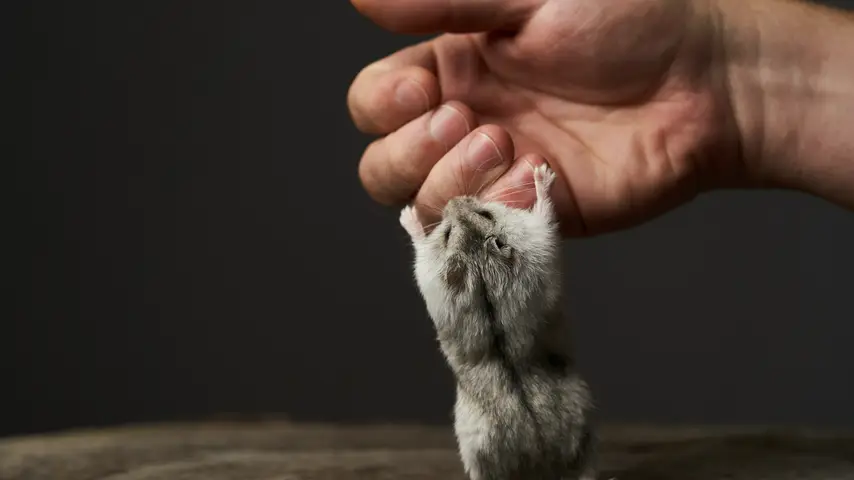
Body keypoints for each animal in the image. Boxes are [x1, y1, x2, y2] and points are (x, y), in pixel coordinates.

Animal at [399, 162, 598, 480]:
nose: (453, 199)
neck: (478, 260)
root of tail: (536, 447)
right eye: (447, 233)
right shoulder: (538, 234)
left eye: (485, 213)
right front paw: (542, 172)